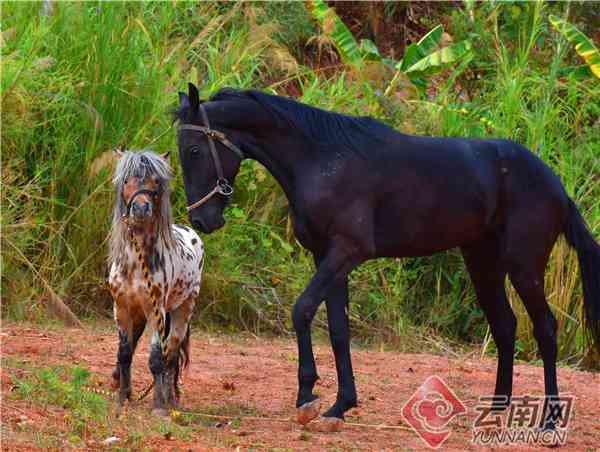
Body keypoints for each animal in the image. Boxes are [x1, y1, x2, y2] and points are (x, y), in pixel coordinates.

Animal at [107, 150, 202, 414]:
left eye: (156, 182)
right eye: (126, 180)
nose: (141, 208)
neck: (135, 265)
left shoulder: (154, 310)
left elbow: (156, 358)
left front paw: (159, 405)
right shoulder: (122, 309)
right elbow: (125, 353)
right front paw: (122, 398)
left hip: (183, 308)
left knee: (172, 353)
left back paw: (169, 397)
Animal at [175, 84, 600, 430]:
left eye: (194, 150)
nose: (202, 219)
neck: (322, 159)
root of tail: (555, 184)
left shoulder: (347, 252)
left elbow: (302, 310)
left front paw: (307, 397)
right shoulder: (326, 257)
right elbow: (338, 328)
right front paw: (340, 406)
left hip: (524, 266)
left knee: (545, 328)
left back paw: (550, 419)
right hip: (482, 263)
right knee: (505, 326)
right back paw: (496, 408)